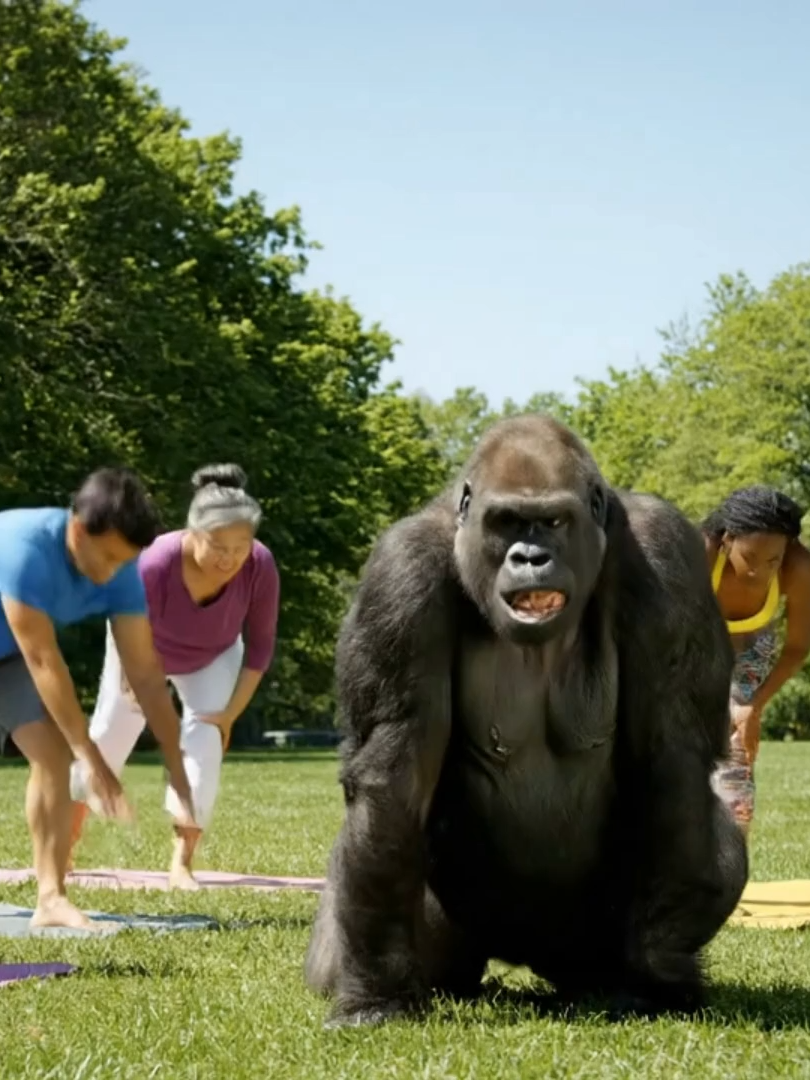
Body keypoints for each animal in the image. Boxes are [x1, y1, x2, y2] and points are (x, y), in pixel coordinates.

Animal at [304, 413, 748, 1028]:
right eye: (506, 522)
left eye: (553, 522)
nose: (530, 558)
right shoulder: (401, 574)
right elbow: (392, 777)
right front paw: (375, 994)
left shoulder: (669, 556)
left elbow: (674, 758)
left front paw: (655, 981)